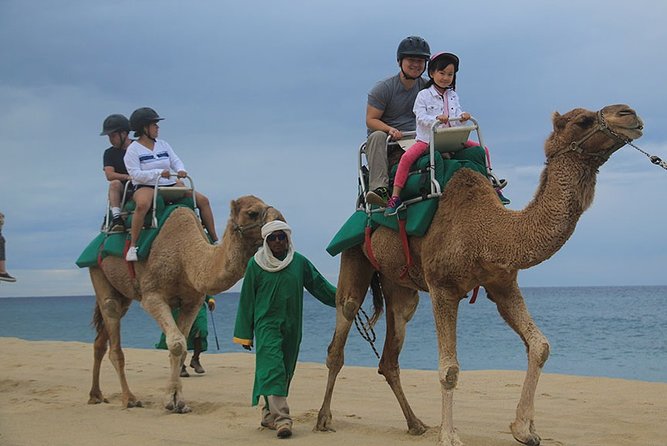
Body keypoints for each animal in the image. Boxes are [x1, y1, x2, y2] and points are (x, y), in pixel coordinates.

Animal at [87, 195, 284, 413]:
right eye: (252, 213)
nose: (281, 224)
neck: (185, 254)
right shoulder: (152, 295)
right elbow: (177, 343)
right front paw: (170, 401)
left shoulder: (193, 302)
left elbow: (181, 349)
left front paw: (179, 401)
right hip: (98, 270)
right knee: (112, 321)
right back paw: (129, 398)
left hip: (123, 294)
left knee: (101, 339)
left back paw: (95, 395)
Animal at [316, 104, 644, 446]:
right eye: (583, 120)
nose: (629, 114)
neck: (487, 230)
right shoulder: (443, 287)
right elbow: (449, 369)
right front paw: (449, 436)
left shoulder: (502, 283)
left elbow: (539, 345)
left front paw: (524, 429)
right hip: (354, 253)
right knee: (343, 323)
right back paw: (324, 418)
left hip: (400, 286)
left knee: (390, 355)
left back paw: (415, 423)